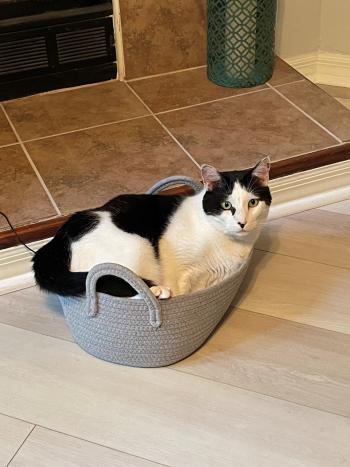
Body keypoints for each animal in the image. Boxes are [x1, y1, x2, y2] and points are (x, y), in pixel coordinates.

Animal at [33, 159, 270, 300]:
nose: (242, 222)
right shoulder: (174, 263)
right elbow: (178, 288)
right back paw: (157, 291)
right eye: (226, 205)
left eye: (253, 203)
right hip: (137, 246)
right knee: (112, 280)